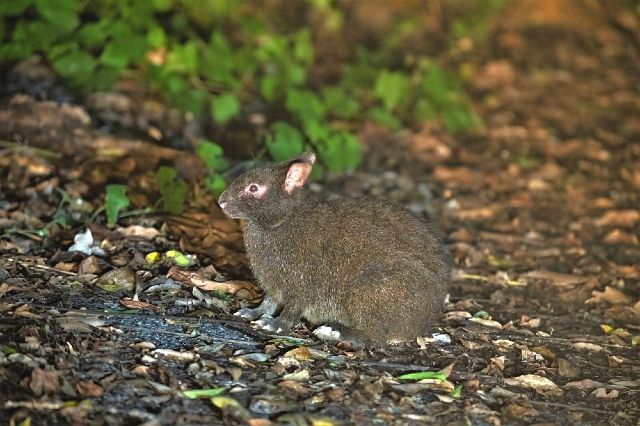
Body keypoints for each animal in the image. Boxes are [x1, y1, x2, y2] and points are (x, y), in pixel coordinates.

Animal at [217, 152, 450, 346]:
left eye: (254, 188)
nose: (221, 202)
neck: (282, 221)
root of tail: (420, 325)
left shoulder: (300, 285)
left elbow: (291, 311)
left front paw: (275, 325)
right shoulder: (274, 287)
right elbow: (268, 304)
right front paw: (250, 313)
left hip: (368, 292)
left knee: (373, 337)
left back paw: (332, 331)